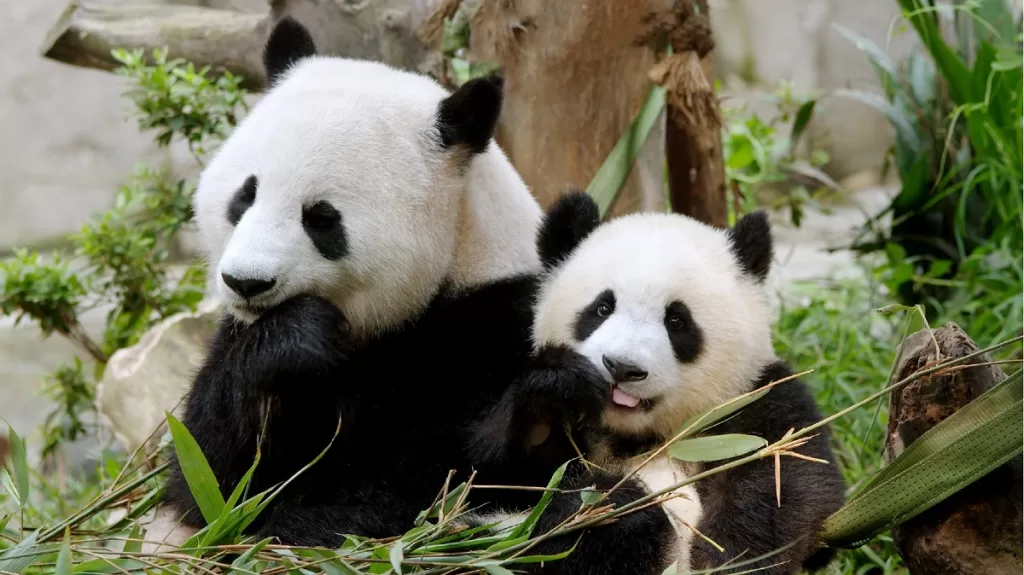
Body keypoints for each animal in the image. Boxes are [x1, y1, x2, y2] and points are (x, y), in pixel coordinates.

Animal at [493, 191, 846, 574]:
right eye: (601, 308)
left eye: (677, 321)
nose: (623, 367)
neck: (638, 437)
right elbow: (489, 481)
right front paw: (554, 404)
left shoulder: (756, 398)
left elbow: (788, 474)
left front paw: (729, 556)